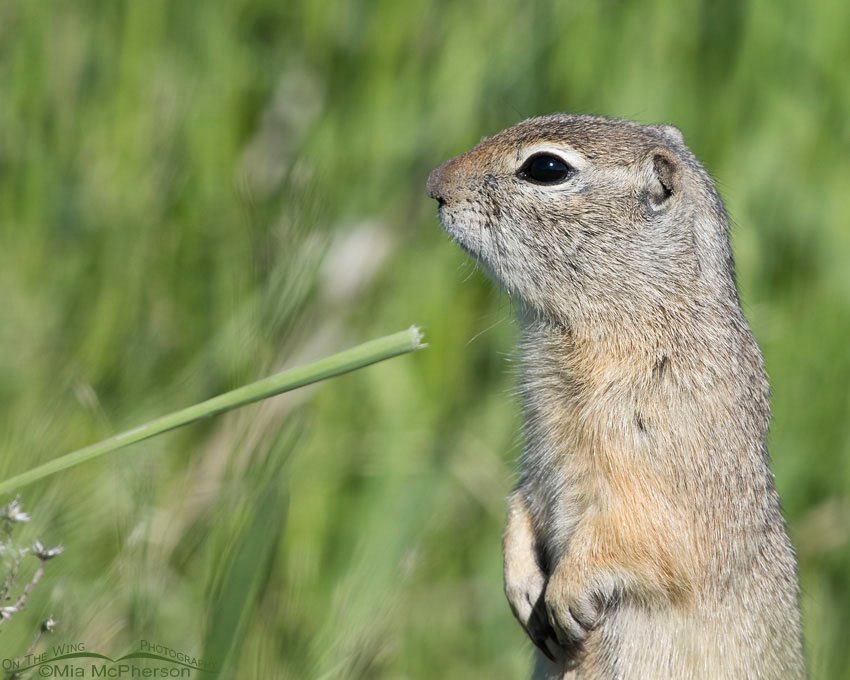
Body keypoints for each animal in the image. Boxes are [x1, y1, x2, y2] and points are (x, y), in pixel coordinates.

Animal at [427, 114, 806, 679]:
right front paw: (522, 586)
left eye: (546, 167)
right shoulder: (538, 453)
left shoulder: (661, 443)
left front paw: (564, 597)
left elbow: (644, 534)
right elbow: (520, 501)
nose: (434, 185)